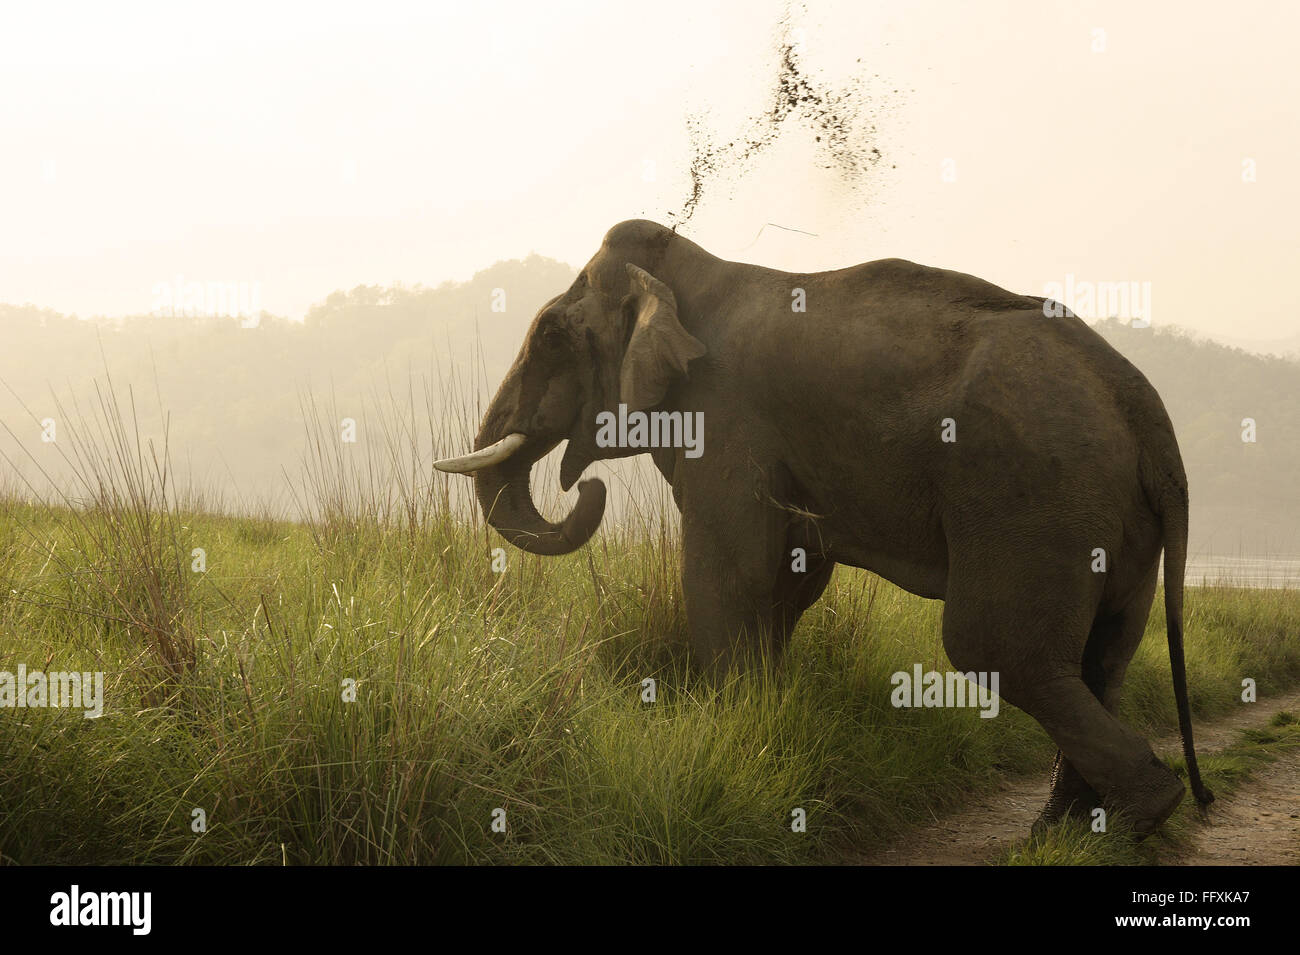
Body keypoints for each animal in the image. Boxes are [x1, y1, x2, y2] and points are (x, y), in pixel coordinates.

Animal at [434, 220, 1206, 831]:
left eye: (550, 336)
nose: (585, 485)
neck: (689, 272)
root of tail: (1149, 416)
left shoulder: (727, 416)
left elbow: (730, 571)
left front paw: (731, 730)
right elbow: (786, 578)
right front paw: (761, 716)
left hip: (1035, 496)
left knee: (997, 647)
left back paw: (1143, 813)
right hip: (1114, 520)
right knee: (1102, 655)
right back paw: (1075, 828)